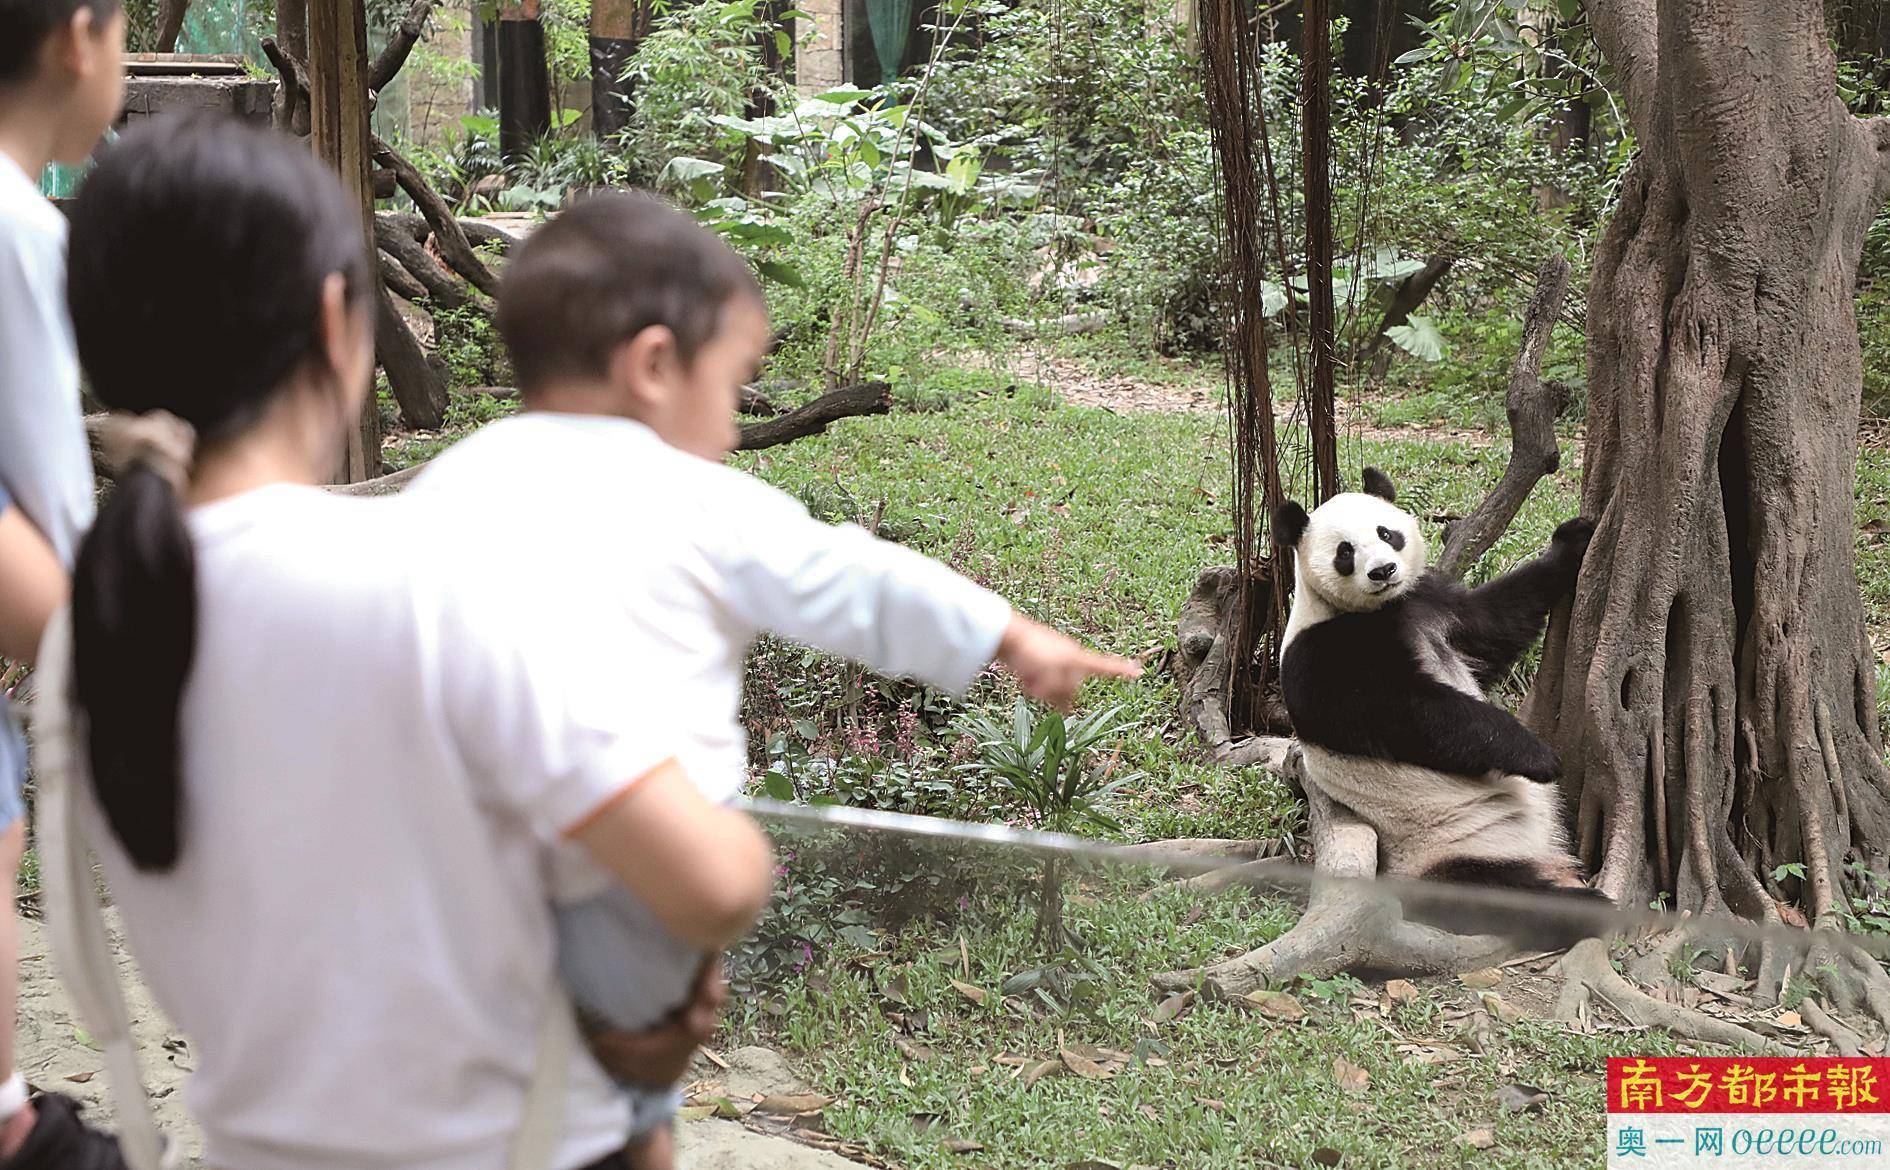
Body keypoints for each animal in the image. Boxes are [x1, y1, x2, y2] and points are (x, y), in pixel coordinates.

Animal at [1270, 466, 1610, 941]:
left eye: (1386, 532)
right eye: (1345, 552)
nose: (1384, 570)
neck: (1379, 610)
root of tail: (1547, 862)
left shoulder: (1428, 600)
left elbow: (1495, 620)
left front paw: (1572, 541)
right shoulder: (1321, 656)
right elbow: (1409, 713)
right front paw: (1538, 756)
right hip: (1445, 851)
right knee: (1496, 897)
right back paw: (1590, 907)